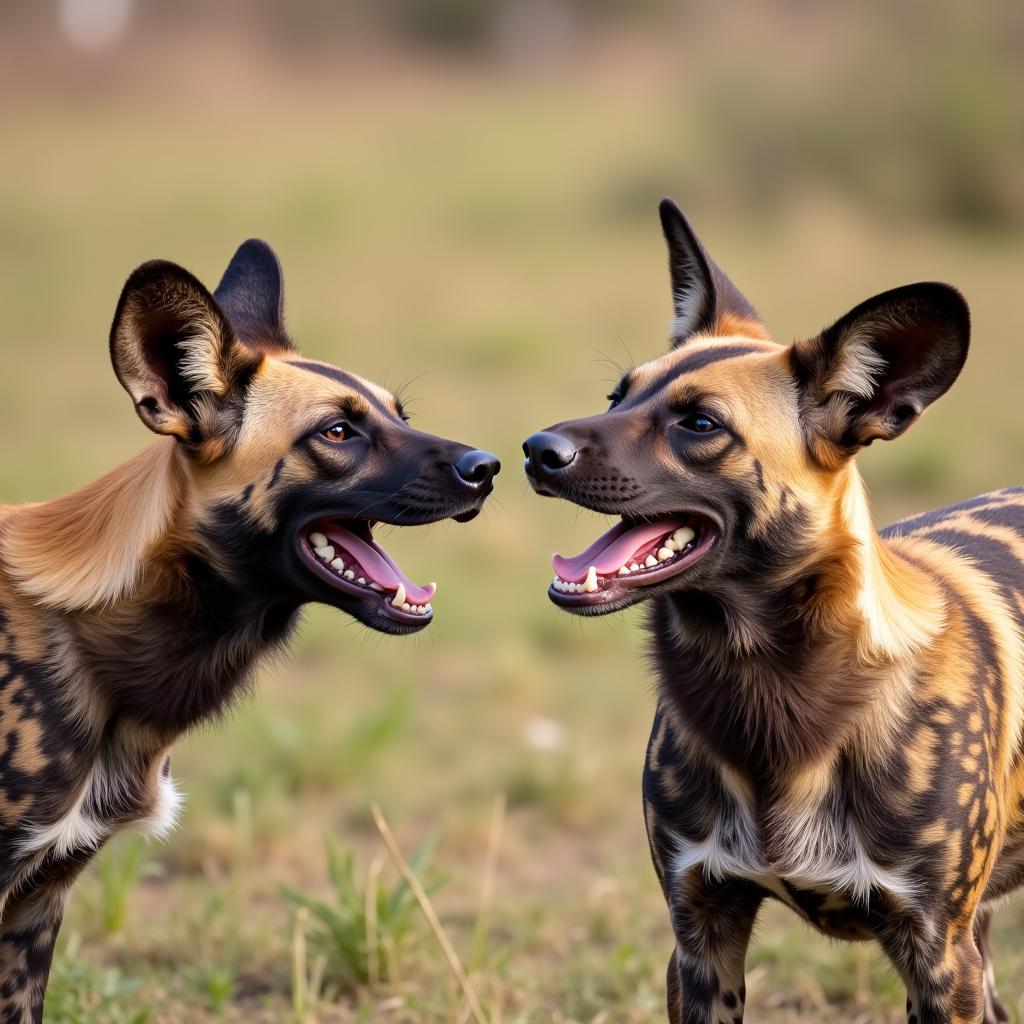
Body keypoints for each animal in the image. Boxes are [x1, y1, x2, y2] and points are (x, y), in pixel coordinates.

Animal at [528, 197, 1024, 1015]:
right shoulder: (700, 939)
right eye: (617, 396)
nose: (535, 449)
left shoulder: (937, 958)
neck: (765, 691)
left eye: (700, 424)